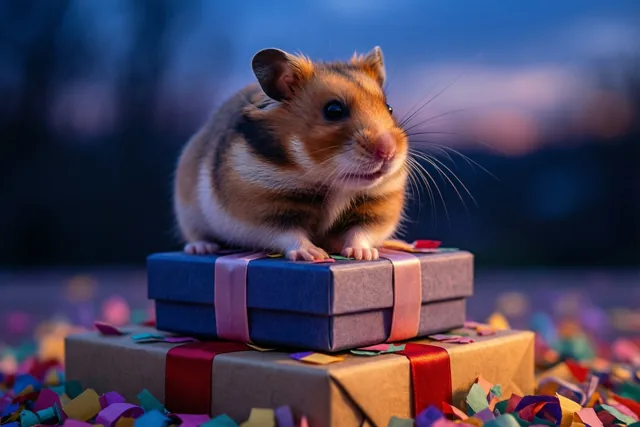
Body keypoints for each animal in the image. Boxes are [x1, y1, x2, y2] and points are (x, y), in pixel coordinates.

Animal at [173, 46, 408, 261]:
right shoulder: (260, 212)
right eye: (333, 111)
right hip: (188, 209)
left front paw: (363, 255)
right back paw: (202, 248)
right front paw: (314, 255)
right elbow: (288, 235)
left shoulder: (378, 206)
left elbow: (361, 231)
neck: (333, 182)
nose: (388, 152)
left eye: (389, 108)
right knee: (196, 236)